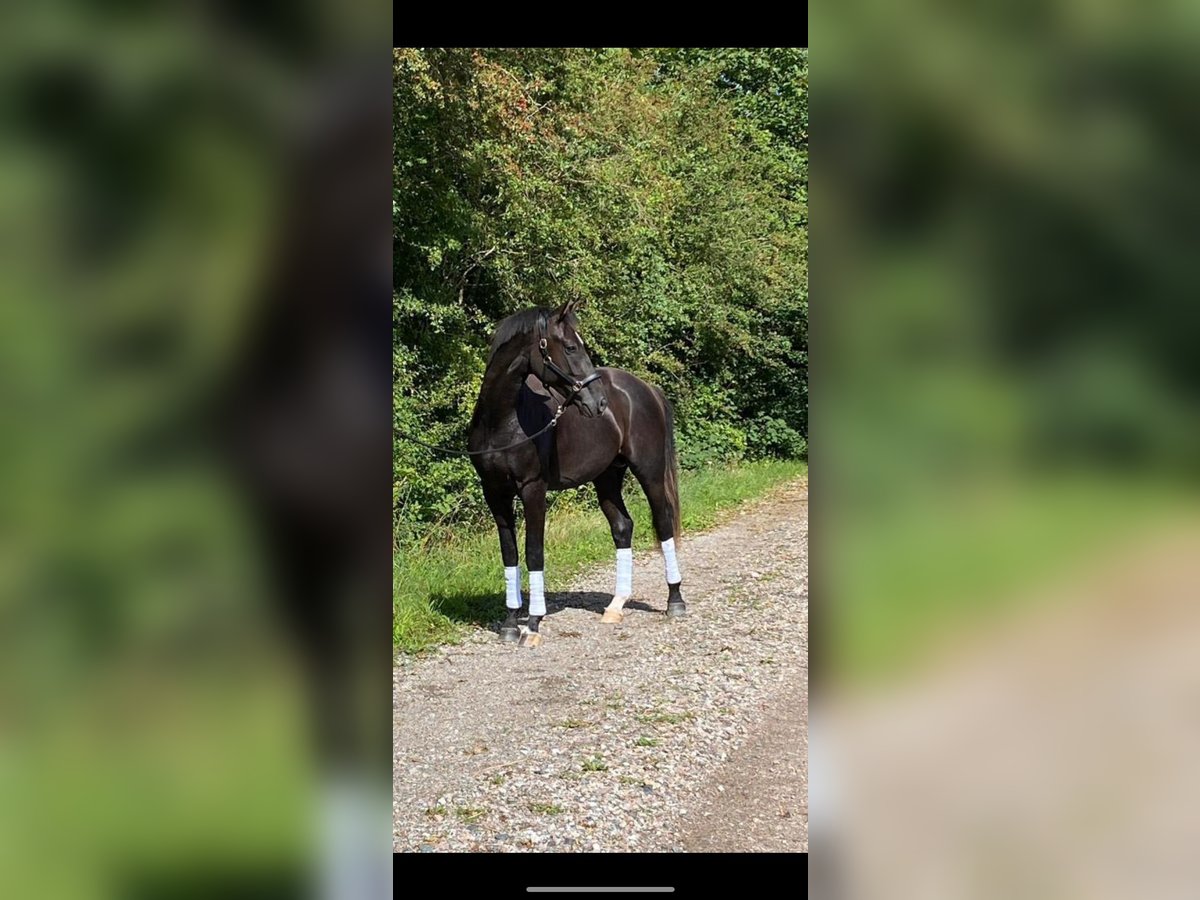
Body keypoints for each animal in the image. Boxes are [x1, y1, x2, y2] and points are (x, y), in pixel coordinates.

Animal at [468, 303, 686, 648]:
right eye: (571, 347)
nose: (598, 402)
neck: (502, 422)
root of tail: (645, 389)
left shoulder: (533, 490)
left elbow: (534, 552)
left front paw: (533, 624)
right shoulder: (495, 493)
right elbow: (509, 554)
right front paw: (510, 623)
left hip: (649, 471)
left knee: (663, 522)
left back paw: (675, 601)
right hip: (607, 477)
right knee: (622, 527)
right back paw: (615, 606)